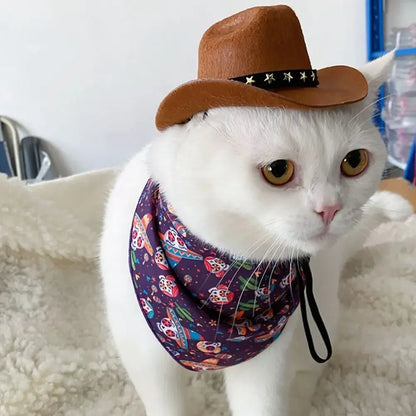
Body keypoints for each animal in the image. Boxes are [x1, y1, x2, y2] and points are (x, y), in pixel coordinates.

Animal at [100, 52, 412, 416]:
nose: (330, 208)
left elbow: (262, 404)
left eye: (354, 162)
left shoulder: (267, 364)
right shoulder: (145, 360)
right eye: (278, 170)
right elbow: (167, 405)